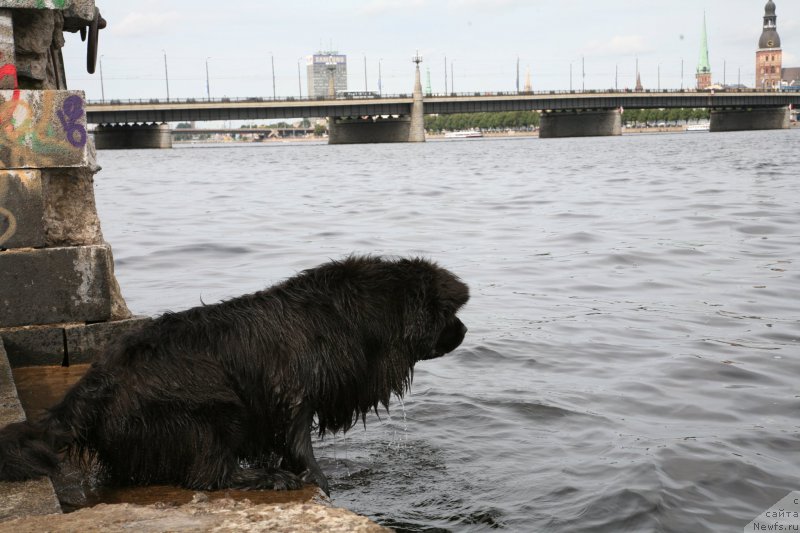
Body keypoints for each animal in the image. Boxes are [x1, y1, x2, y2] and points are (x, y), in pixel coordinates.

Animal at [0, 256, 468, 492]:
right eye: (447, 313)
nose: (464, 331)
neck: (356, 315)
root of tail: (95, 383)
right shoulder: (294, 387)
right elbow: (299, 438)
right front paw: (313, 478)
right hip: (212, 412)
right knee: (208, 473)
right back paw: (264, 478)